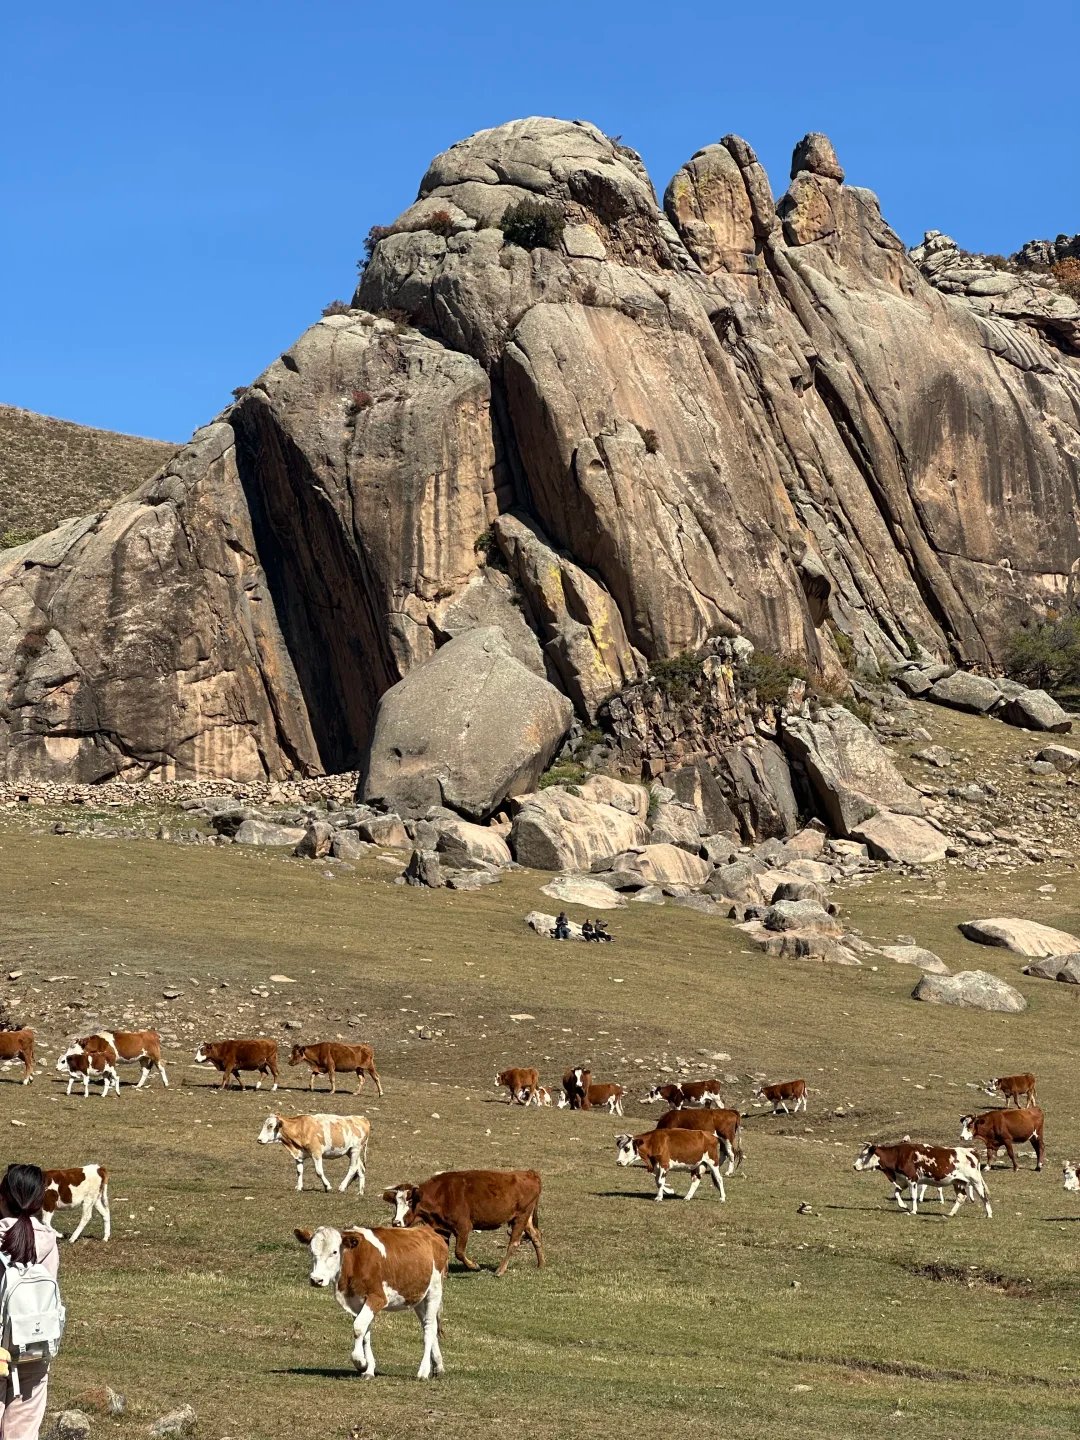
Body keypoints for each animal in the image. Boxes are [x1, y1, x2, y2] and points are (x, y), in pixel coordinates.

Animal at [295, 1224, 448, 1379]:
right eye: (311, 1251)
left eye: (334, 1251)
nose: (316, 1279)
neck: (353, 1261)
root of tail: (427, 1230)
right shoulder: (356, 1301)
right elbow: (365, 1333)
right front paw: (368, 1369)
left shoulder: (377, 1297)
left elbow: (358, 1328)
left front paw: (360, 1362)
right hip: (418, 1297)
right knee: (429, 1326)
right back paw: (438, 1366)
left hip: (434, 1291)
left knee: (429, 1327)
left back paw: (423, 1371)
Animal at [383, 1169, 543, 1277]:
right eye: (396, 1202)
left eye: (410, 1202)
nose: (396, 1222)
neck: (441, 1195)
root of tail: (530, 1173)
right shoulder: (442, 1229)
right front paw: (443, 1274)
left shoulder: (463, 1227)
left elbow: (459, 1252)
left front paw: (474, 1266)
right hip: (525, 1218)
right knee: (535, 1235)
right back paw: (541, 1264)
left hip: (521, 1217)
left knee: (514, 1242)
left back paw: (500, 1270)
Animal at [854, 1142, 992, 1217]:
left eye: (864, 1155)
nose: (854, 1166)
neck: (898, 1155)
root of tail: (971, 1150)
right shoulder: (902, 1181)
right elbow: (896, 1193)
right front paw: (904, 1206)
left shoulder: (912, 1179)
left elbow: (913, 1196)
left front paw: (913, 1210)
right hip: (958, 1182)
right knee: (961, 1197)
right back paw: (951, 1213)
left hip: (975, 1181)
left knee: (984, 1196)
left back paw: (989, 1214)